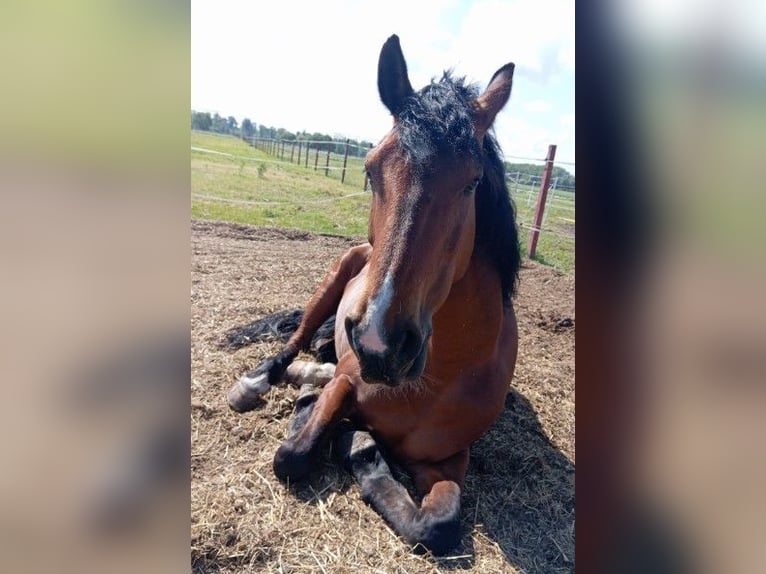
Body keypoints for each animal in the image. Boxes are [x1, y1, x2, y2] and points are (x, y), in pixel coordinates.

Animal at [227, 34, 521, 555]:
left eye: (472, 182)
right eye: (369, 170)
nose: (379, 345)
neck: (438, 378)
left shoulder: (447, 461)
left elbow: (438, 524)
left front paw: (359, 446)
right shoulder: (348, 378)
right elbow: (293, 455)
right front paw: (342, 432)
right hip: (335, 278)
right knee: (294, 340)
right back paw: (262, 380)